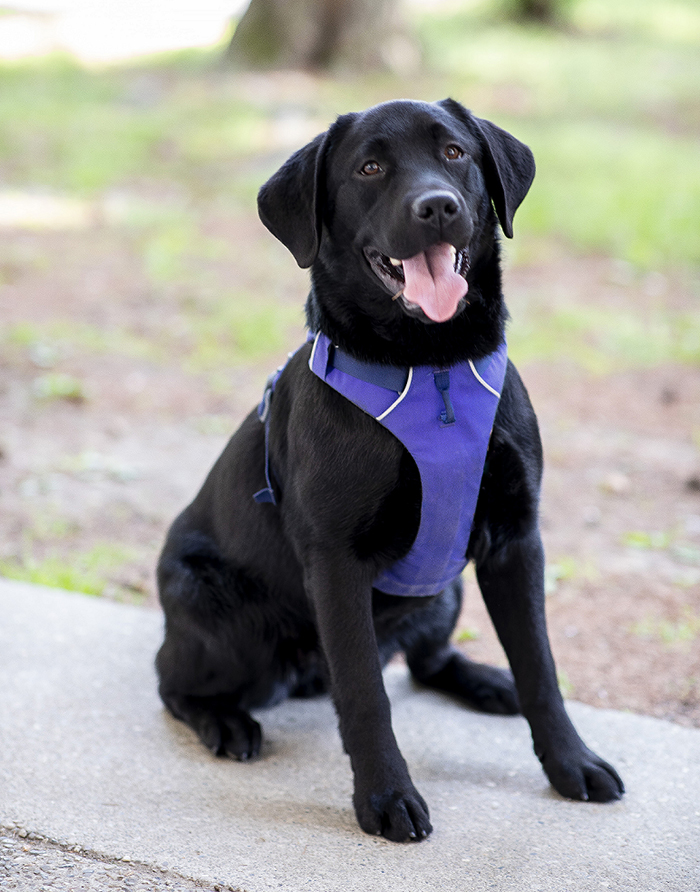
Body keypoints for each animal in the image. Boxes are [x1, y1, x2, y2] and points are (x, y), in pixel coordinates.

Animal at [154, 99, 624, 844]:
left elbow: (541, 668)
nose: (436, 206)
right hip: (220, 611)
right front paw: (386, 798)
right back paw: (225, 721)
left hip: (446, 591)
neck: (431, 366)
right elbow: (366, 695)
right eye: (369, 168)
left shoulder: (517, 539)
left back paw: (487, 682)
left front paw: (571, 762)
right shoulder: (337, 561)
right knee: (172, 681)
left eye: (455, 152)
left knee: (429, 661)